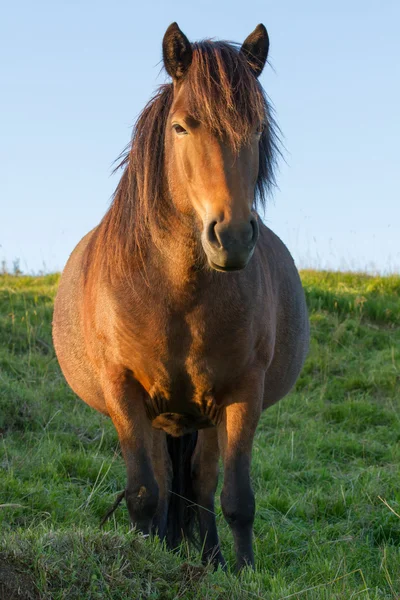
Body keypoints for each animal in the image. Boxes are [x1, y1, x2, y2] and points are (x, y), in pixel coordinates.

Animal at [52, 21, 310, 568]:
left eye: (258, 129)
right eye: (181, 127)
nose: (231, 236)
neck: (175, 295)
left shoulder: (242, 394)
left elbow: (236, 497)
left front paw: (242, 572)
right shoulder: (125, 392)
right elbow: (144, 494)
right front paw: (143, 560)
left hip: (204, 418)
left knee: (200, 484)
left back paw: (209, 559)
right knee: (167, 482)